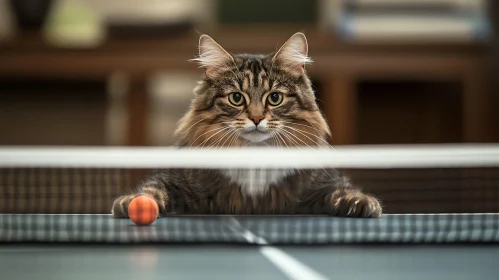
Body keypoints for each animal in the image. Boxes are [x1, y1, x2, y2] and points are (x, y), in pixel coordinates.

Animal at [111, 32, 382, 217]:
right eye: (236, 98)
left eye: (275, 98)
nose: (256, 118)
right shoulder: (173, 181)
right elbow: (152, 189)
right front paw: (133, 203)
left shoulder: (324, 185)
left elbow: (343, 191)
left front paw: (361, 203)